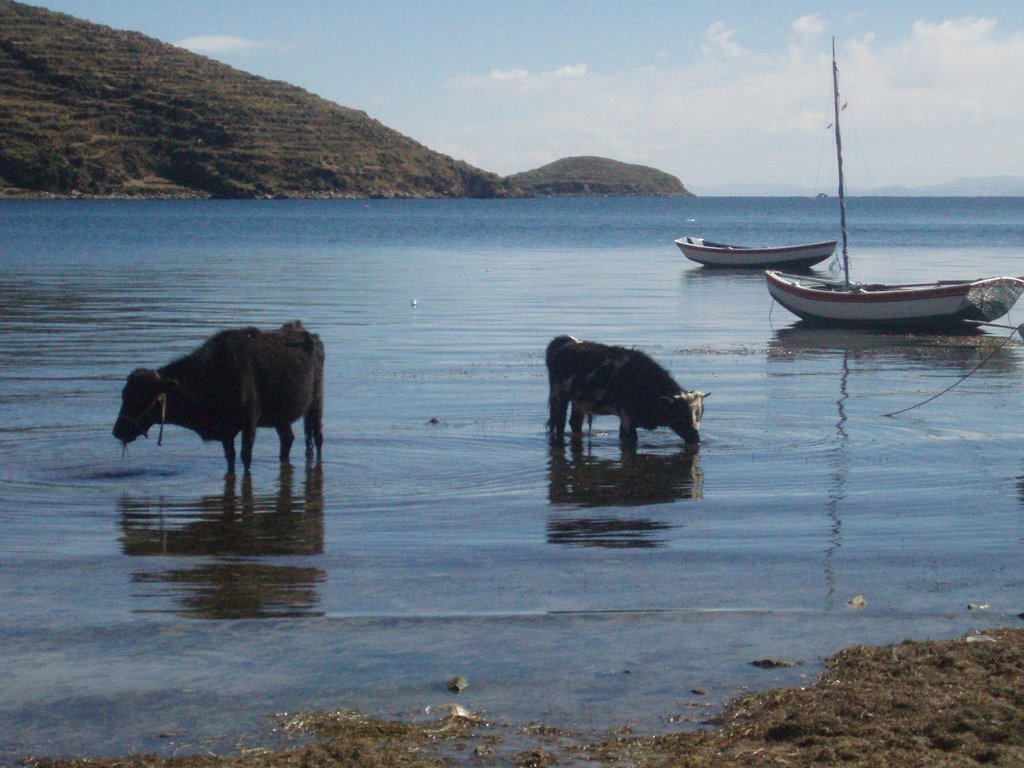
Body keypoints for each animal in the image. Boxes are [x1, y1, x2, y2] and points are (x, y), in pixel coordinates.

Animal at [112, 321, 321, 473]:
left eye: (141, 397)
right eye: (124, 395)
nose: (117, 431)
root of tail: (306, 333)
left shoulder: (249, 423)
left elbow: (245, 457)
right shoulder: (226, 432)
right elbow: (230, 458)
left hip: (316, 403)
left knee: (317, 437)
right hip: (281, 417)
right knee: (287, 439)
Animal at [548, 335, 708, 444]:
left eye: (700, 414)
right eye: (680, 415)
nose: (695, 437)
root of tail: (566, 340)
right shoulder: (627, 417)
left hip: (578, 401)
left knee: (575, 422)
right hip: (558, 395)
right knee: (559, 423)